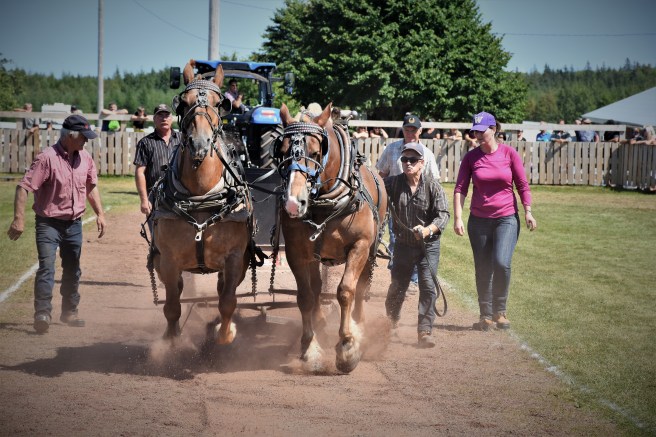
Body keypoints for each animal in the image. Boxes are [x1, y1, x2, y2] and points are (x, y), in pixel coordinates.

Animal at [151, 59, 252, 344]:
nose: (199, 144)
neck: (201, 196)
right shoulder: (169, 260)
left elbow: (227, 301)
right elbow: (172, 305)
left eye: (219, 104)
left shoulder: (234, 258)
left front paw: (225, 334)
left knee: (221, 290)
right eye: (183, 103)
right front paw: (171, 340)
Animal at [276, 103, 387, 373]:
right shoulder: (296, 252)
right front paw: (309, 348)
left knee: (361, 288)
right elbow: (305, 296)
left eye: (316, 153)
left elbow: (346, 291)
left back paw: (359, 326)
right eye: (282, 152)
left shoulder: (359, 246)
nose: (293, 203)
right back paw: (321, 321)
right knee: (316, 288)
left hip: (370, 253)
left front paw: (348, 345)